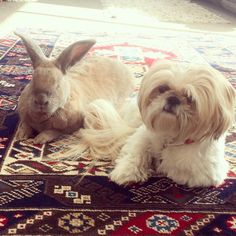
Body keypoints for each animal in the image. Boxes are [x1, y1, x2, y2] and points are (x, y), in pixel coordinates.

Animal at [109, 60, 236, 188]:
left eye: (190, 98)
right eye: (163, 88)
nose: (173, 99)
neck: (171, 136)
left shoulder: (203, 174)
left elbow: (174, 168)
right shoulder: (143, 135)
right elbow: (137, 152)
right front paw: (127, 172)